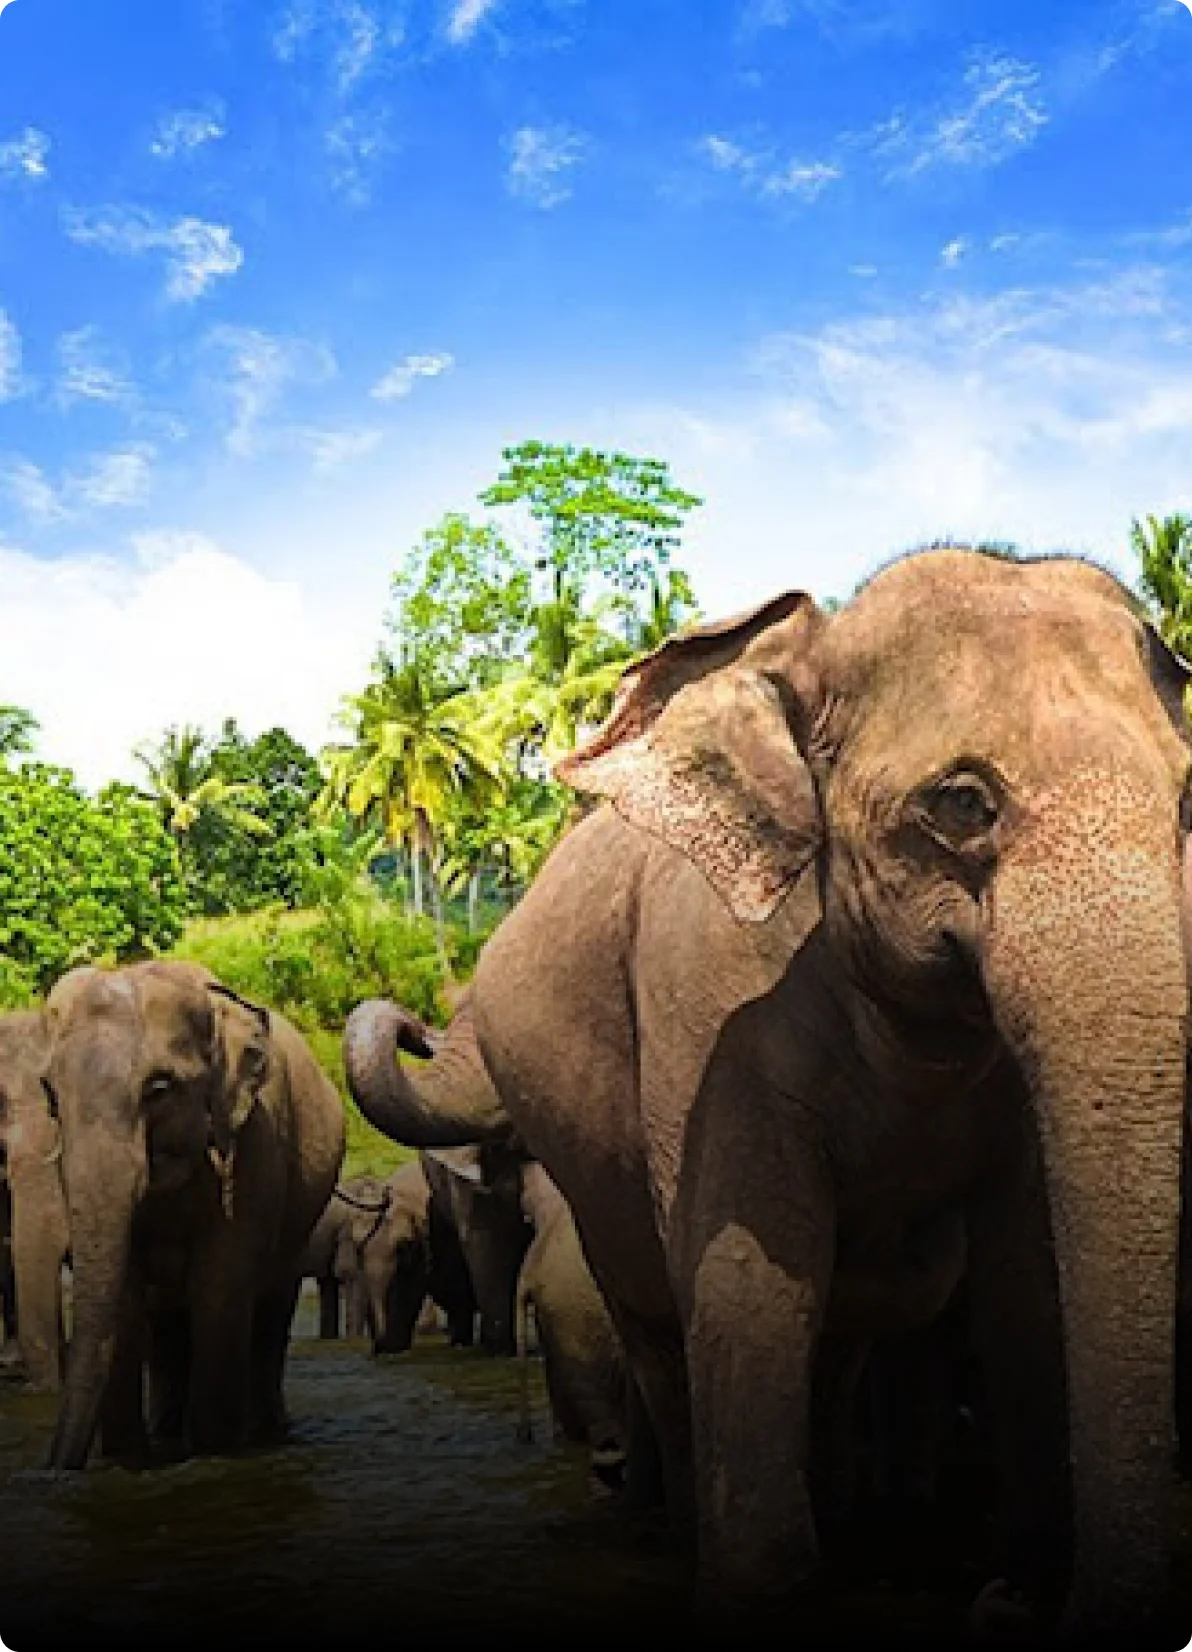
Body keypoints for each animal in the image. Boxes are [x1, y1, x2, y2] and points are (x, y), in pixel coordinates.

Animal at [40, 958, 343, 1473]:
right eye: (50, 1095)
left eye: (159, 1089)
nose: (57, 1466)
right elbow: (125, 1300)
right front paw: (129, 1461)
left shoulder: (255, 1146)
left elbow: (220, 1290)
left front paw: (216, 1451)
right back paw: (168, 1431)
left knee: (271, 1311)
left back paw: (267, 1432)